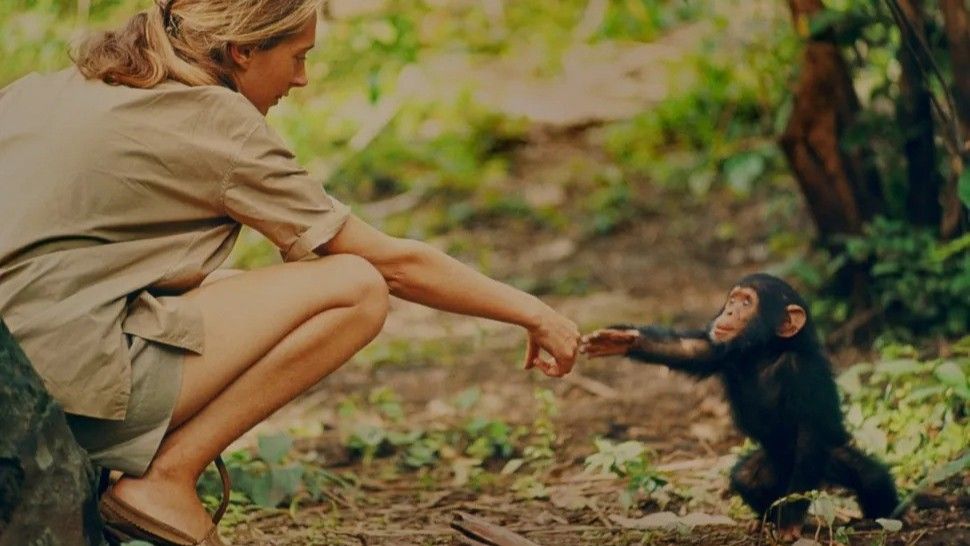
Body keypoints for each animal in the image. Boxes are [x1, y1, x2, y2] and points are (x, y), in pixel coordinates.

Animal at [582, 273, 899, 540]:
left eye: (747, 303)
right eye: (733, 299)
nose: (729, 311)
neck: (765, 352)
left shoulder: (804, 375)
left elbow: (809, 436)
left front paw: (791, 522)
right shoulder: (723, 350)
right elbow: (688, 350)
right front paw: (620, 339)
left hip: (825, 463)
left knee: (871, 478)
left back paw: (886, 516)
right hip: (772, 467)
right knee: (746, 478)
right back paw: (764, 519)